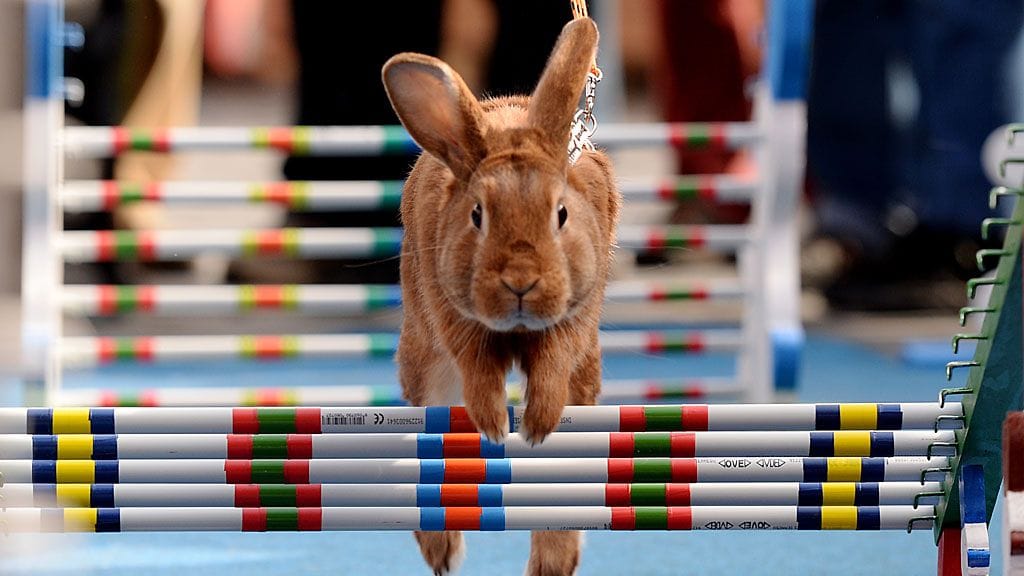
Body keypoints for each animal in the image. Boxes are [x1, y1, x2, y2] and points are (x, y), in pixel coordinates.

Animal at [383, 17, 619, 575]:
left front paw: (535, 427)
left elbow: (553, 364)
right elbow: (480, 374)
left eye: (561, 213)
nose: (520, 281)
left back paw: (552, 564)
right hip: (425, 361)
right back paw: (442, 554)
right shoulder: (455, 321)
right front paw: (494, 427)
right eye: (477, 215)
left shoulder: (573, 322)